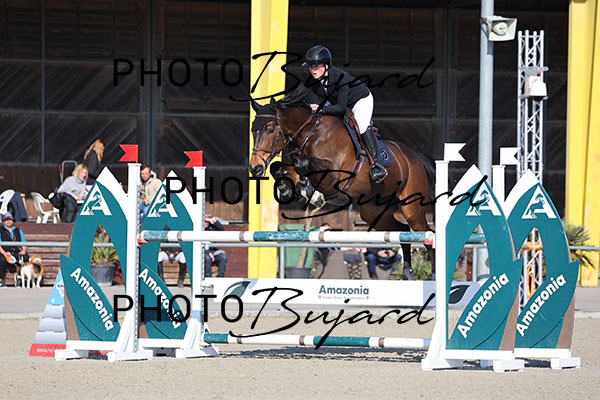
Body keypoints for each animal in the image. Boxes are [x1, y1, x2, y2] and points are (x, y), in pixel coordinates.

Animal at [249, 86, 436, 279]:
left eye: (271, 129)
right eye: (253, 130)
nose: (255, 168)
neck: (310, 134)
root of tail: (416, 157)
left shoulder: (333, 177)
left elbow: (303, 163)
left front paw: (312, 193)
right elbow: (280, 167)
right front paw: (290, 190)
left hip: (412, 209)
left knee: (427, 235)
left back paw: (434, 273)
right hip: (373, 212)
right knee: (402, 230)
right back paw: (408, 272)